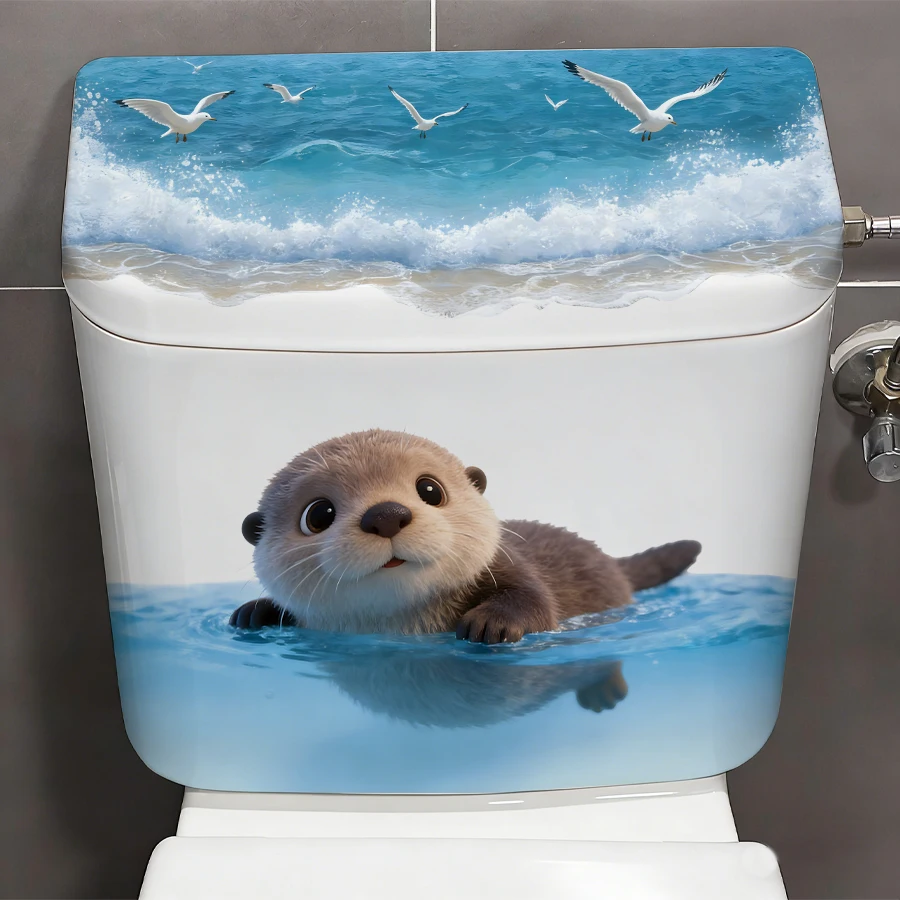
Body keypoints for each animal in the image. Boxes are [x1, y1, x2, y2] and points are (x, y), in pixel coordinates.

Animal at [229, 429, 700, 644]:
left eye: (429, 489)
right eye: (318, 514)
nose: (386, 514)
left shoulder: (509, 566)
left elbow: (537, 602)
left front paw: (494, 622)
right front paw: (256, 612)